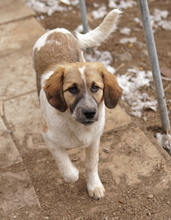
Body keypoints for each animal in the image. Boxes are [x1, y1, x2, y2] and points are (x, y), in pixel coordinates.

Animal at [32, 8, 122, 199]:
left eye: (95, 88)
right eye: (72, 89)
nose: (89, 113)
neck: (76, 125)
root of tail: (57, 30)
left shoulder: (95, 139)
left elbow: (91, 164)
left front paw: (94, 185)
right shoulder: (48, 137)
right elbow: (68, 172)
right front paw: (74, 172)